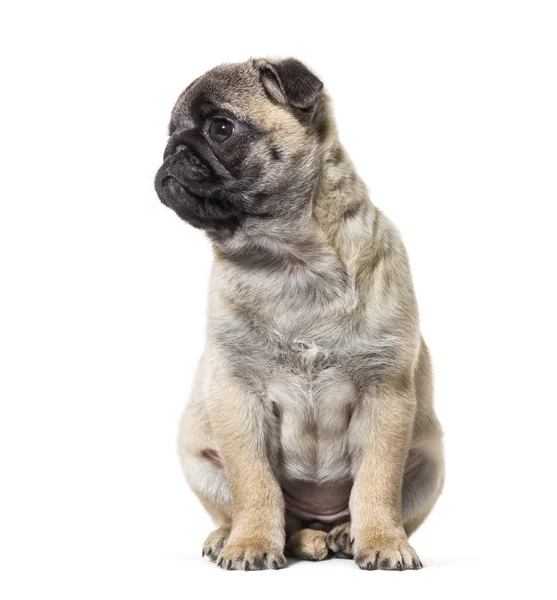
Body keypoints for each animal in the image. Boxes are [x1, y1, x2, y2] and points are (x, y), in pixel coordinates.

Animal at [153, 58, 444, 568]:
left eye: (221, 128)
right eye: (170, 133)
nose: (172, 150)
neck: (286, 262)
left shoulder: (385, 397)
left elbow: (376, 483)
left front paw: (383, 541)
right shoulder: (238, 397)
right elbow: (254, 483)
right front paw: (251, 542)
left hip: (430, 466)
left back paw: (343, 534)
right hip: (199, 459)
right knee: (275, 520)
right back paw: (242, 537)